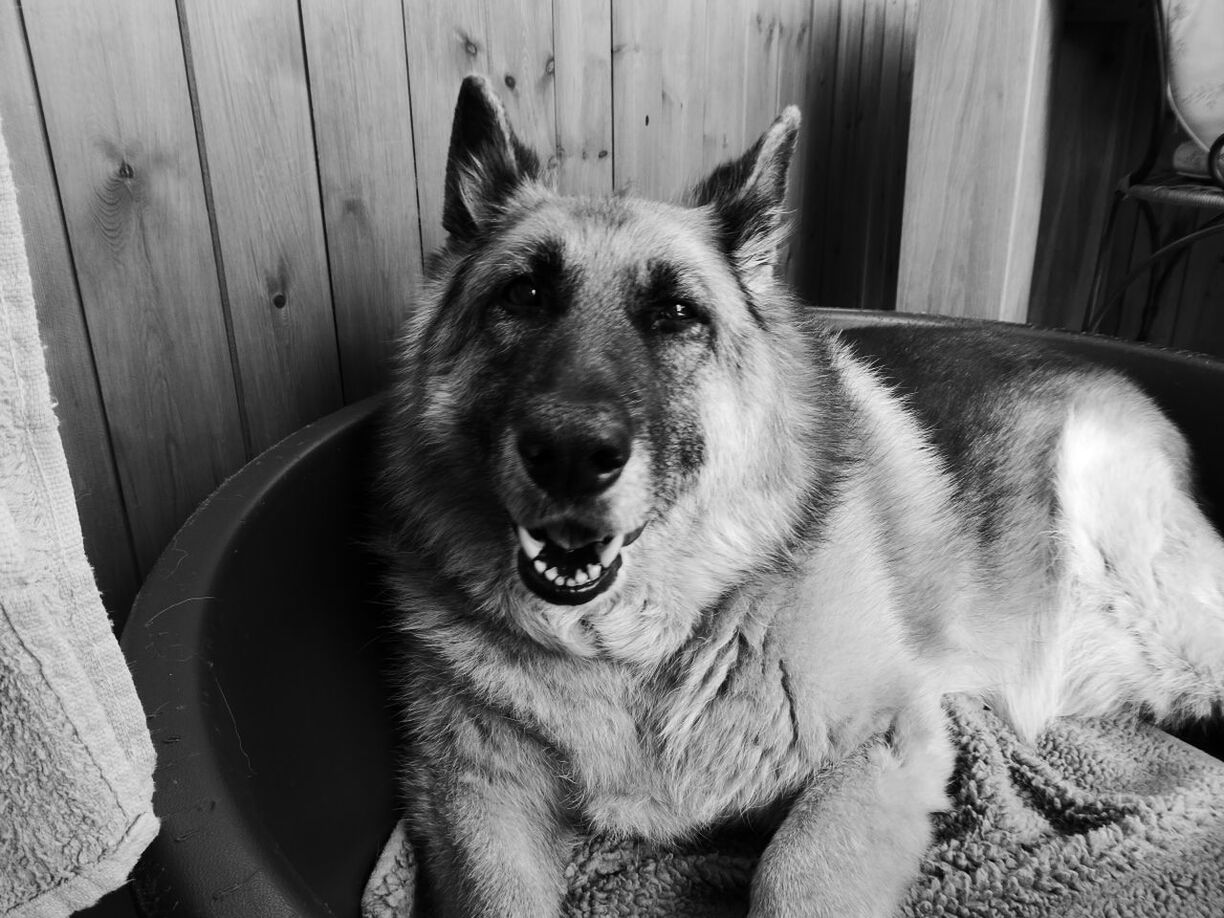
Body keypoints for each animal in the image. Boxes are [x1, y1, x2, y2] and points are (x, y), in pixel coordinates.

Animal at [376, 73, 1224, 918]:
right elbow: (500, 895)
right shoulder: (472, 796)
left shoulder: (883, 747)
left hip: (1150, 602)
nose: (570, 456)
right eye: (524, 294)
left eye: (675, 314)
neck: (634, 651)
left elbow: (795, 873)